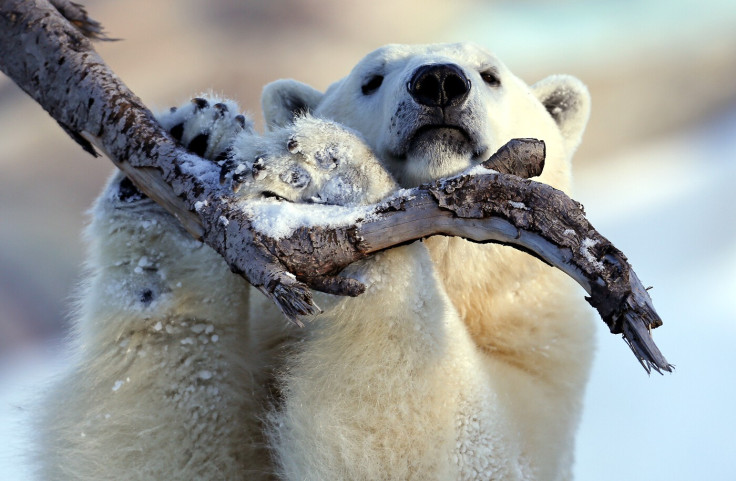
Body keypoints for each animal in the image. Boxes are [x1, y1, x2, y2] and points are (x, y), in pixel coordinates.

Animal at [37, 43, 596, 478]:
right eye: (371, 78)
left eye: (491, 74)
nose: (438, 82)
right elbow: (164, 442)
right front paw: (193, 142)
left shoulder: (541, 365)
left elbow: (448, 444)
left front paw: (328, 166)